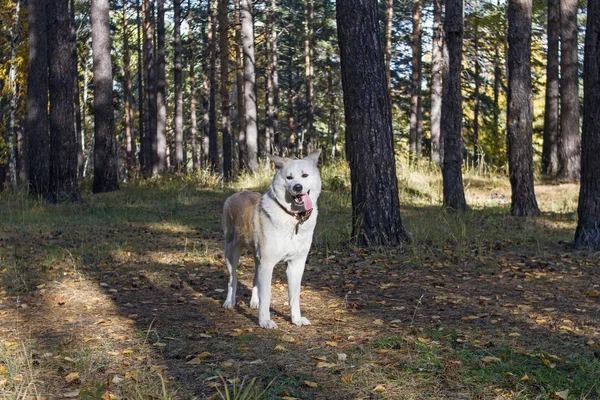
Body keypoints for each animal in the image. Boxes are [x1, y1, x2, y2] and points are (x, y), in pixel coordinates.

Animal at [221, 149, 324, 328]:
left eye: (304, 175)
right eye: (289, 177)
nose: (297, 187)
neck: (293, 217)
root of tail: (237, 193)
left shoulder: (296, 264)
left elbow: (294, 296)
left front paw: (296, 319)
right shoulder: (268, 263)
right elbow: (267, 296)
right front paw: (265, 321)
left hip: (257, 258)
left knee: (255, 279)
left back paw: (254, 302)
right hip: (231, 252)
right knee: (233, 279)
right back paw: (229, 302)